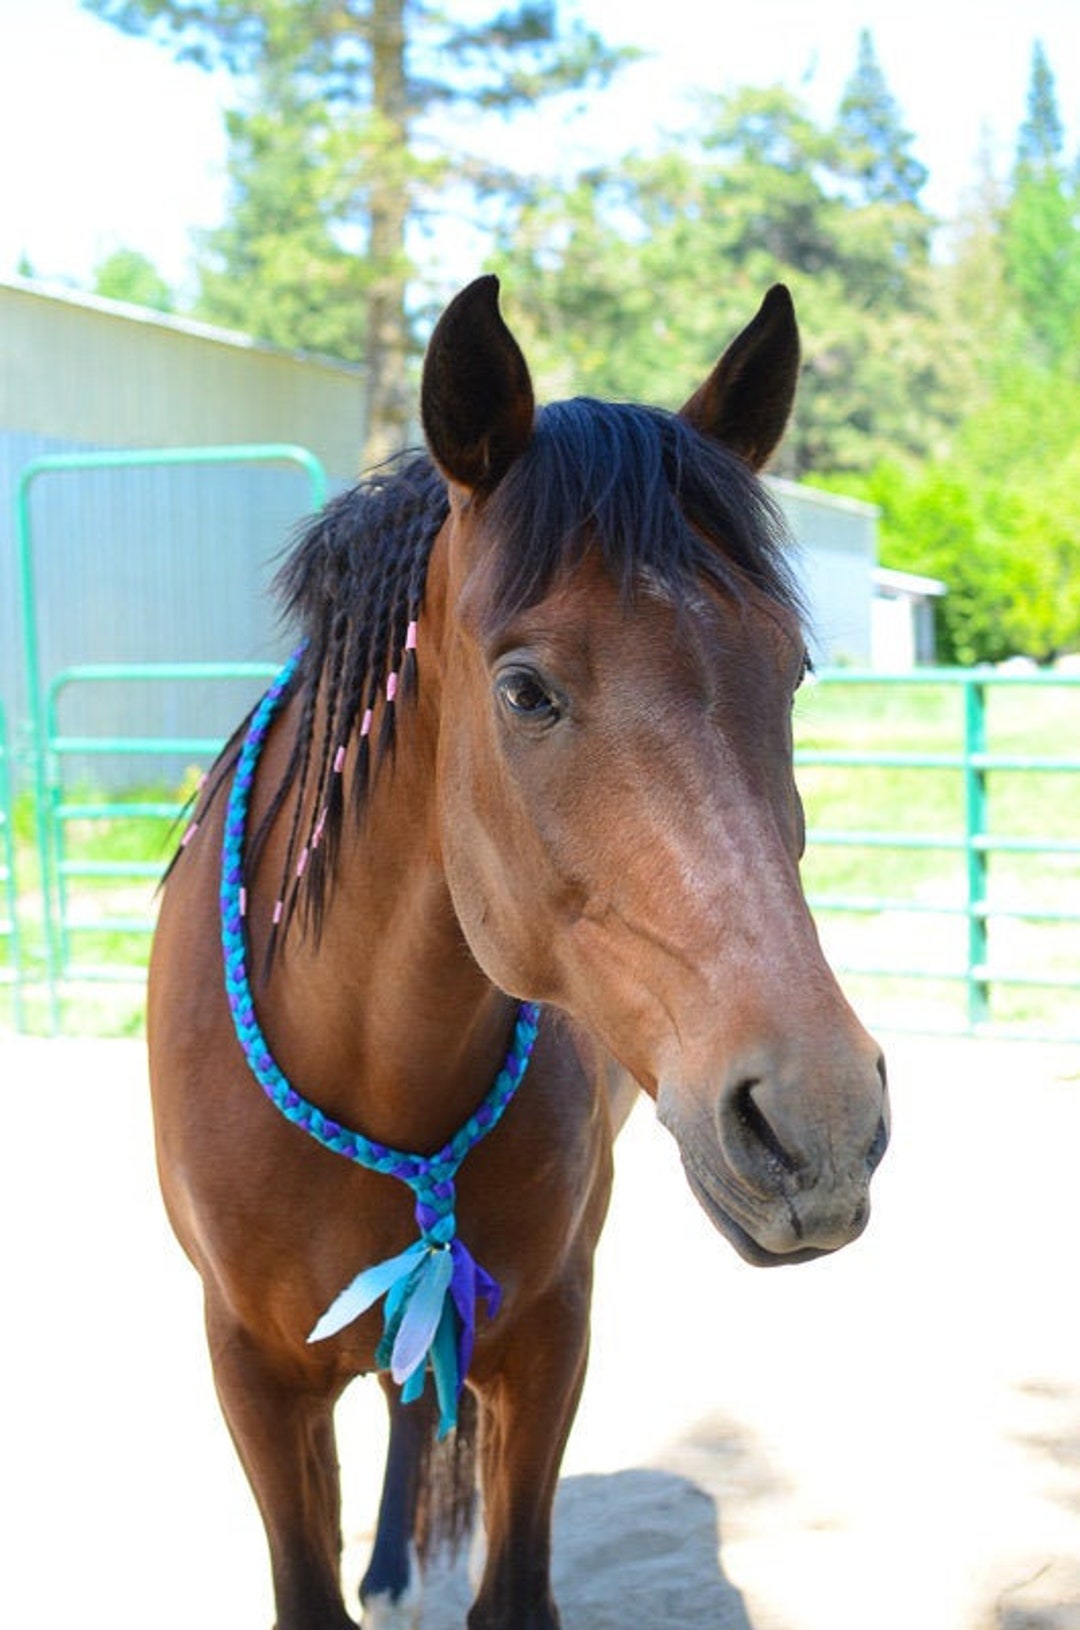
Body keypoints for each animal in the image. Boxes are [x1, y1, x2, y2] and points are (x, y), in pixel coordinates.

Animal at [148, 274, 889, 1630]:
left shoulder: (549, 1340)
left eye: (796, 670)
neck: (366, 1055)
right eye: (527, 690)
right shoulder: (251, 1369)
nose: (818, 1122)